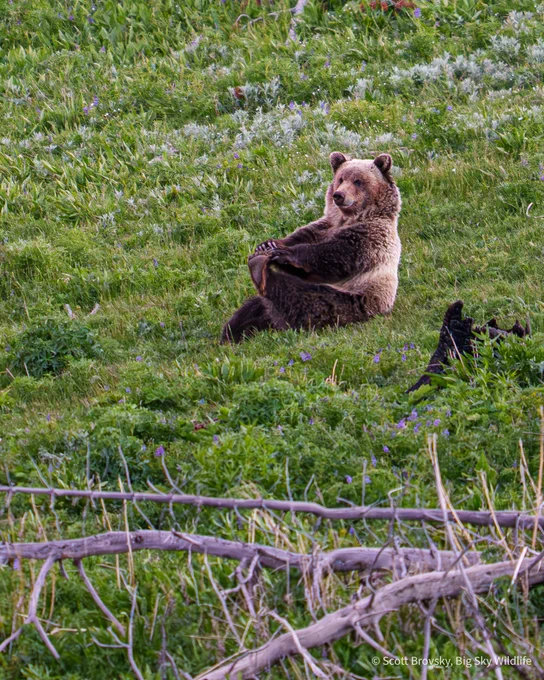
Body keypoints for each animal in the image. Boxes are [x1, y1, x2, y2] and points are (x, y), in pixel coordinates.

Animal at [221, 152, 402, 343]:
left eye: (358, 181)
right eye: (340, 179)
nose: (339, 195)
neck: (347, 219)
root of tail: (277, 323)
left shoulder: (369, 237)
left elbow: (334, 255)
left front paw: (285, 253)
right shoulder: (324, 227)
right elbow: (302, 238)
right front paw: (269, 244)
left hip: (354, 300)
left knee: (305, 299)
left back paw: (260, 273)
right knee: (251, 309)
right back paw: (231, 334)